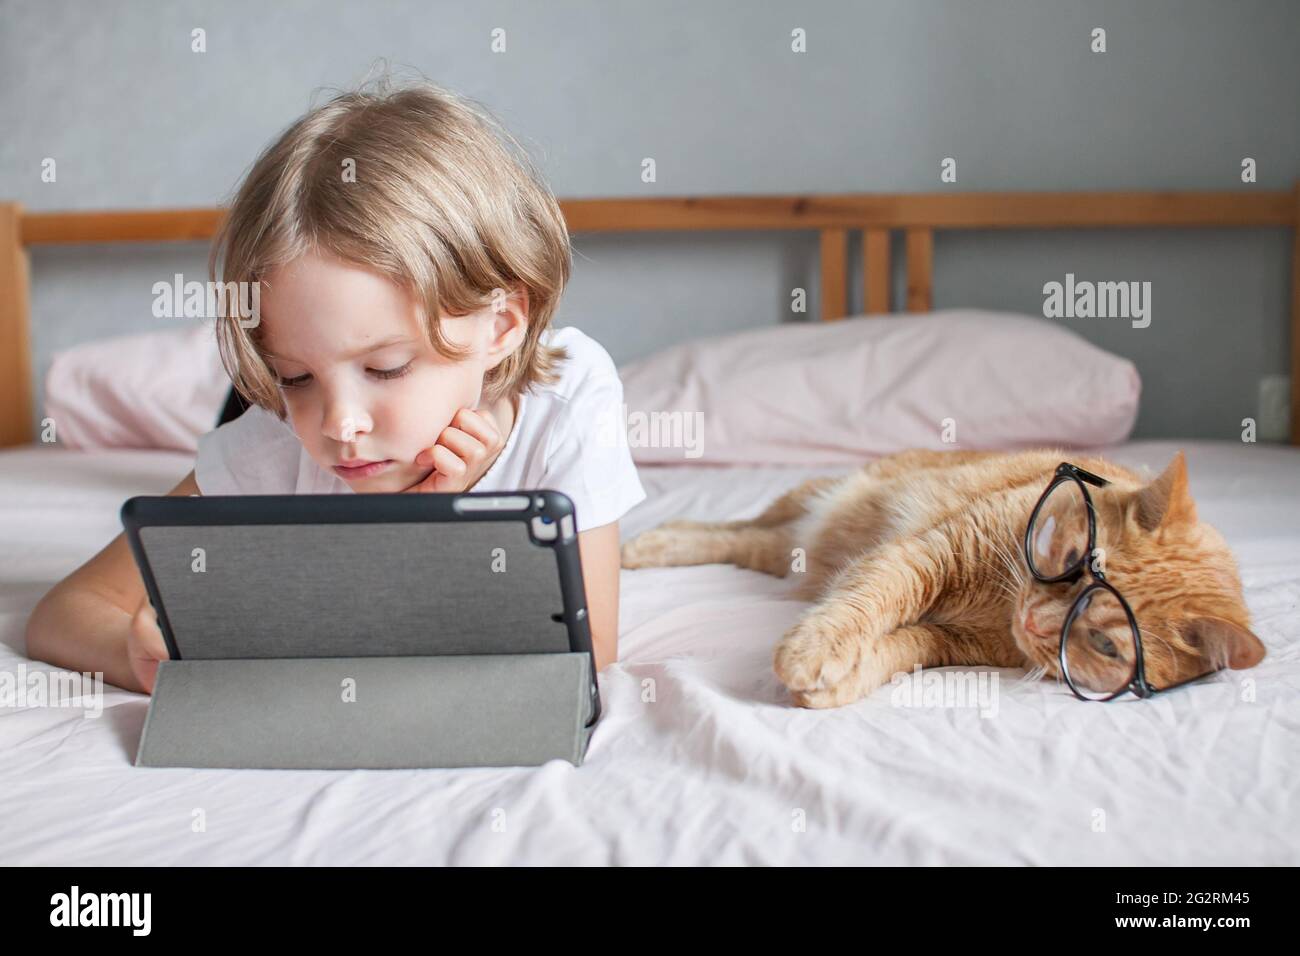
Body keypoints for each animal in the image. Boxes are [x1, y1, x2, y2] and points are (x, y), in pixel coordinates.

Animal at [621, 450, 1268, 712]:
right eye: (1073, 555)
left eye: (1106, 644)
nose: (1034, 620)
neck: (1002, 605)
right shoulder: (927, 554)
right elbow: (868, 598)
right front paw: (816, 647)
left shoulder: (945, 644)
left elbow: (892, 648)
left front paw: (837, 679)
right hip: (809, 502)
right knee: (726, 528)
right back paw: (647, 543)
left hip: (789, 551)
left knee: (746, 542)